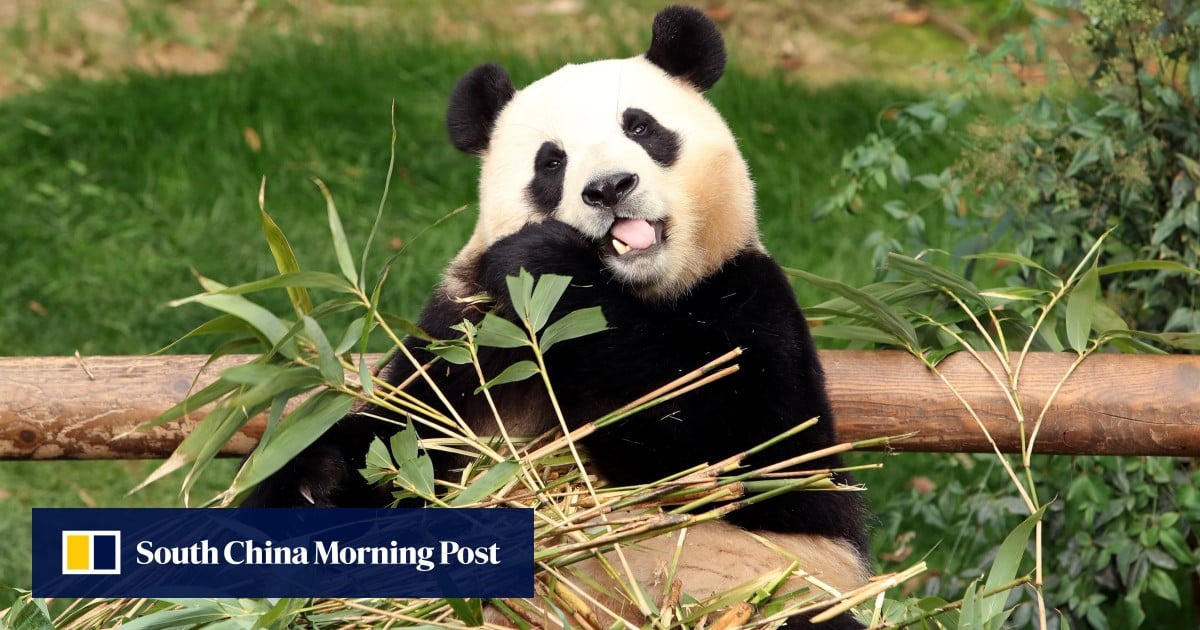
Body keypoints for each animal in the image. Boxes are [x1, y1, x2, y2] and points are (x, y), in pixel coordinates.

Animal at [248, 6, 873, 628]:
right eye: (552, 161)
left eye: (640, 128)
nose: (610, 188)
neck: (638, 289)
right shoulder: (464, 337)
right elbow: (400, 435)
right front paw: (309, 487)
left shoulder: (750, 298)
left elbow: (752, 455)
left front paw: (548, 263)